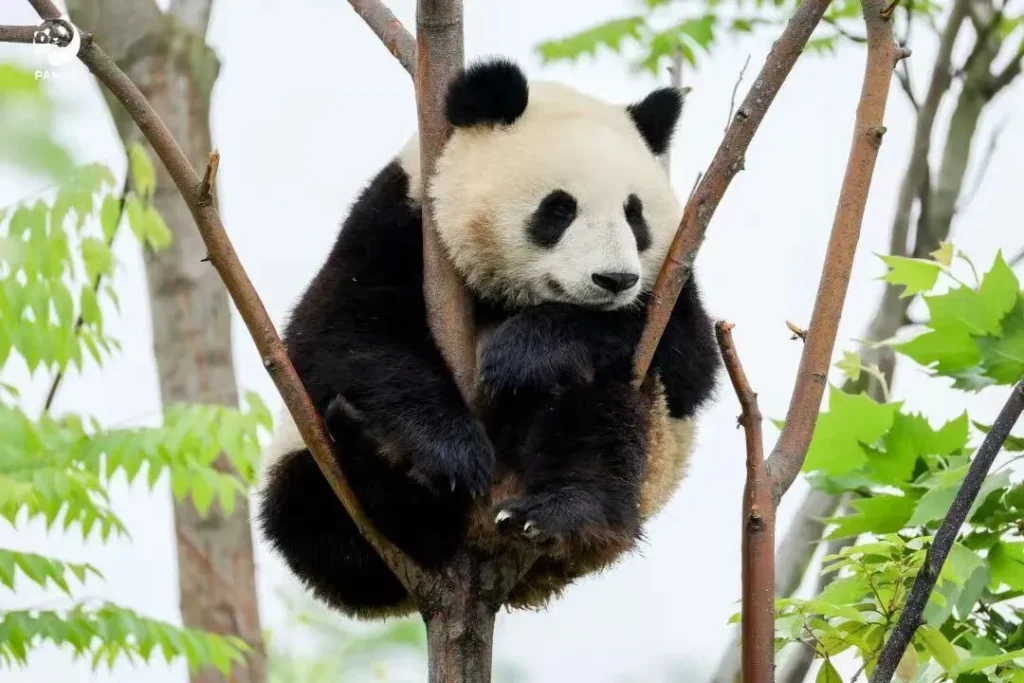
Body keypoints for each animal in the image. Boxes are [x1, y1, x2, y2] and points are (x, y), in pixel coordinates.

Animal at [258, 57, 720, 619]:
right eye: (559, 209)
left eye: (635, 215)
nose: (614, 279)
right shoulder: (397, 220)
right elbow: (337, 335)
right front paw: (451, 451)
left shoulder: (673, 280)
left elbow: (688, 363)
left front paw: (521, 354)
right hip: (305, 462)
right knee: (317, 522)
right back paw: (381, 464)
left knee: (600, 410)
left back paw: (561, 513)